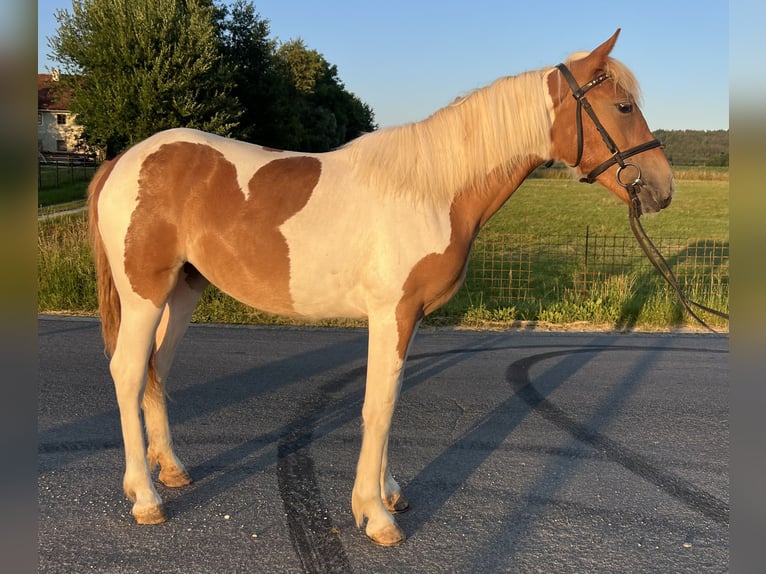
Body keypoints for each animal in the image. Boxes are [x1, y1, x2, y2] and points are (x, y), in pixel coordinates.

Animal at [88, 29, 673, 546]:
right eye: (623, 107)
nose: (663, 187)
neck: (432, 190)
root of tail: (122, 160)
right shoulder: (392, 312)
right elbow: (380, 405)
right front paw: (375, 516)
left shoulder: (408, 318)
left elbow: (390, 399)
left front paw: (389, 494)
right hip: (143, 295)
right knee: (126, 373)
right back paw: (145, 497)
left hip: (182, 292)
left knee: (156, 370)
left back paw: (171, 470)